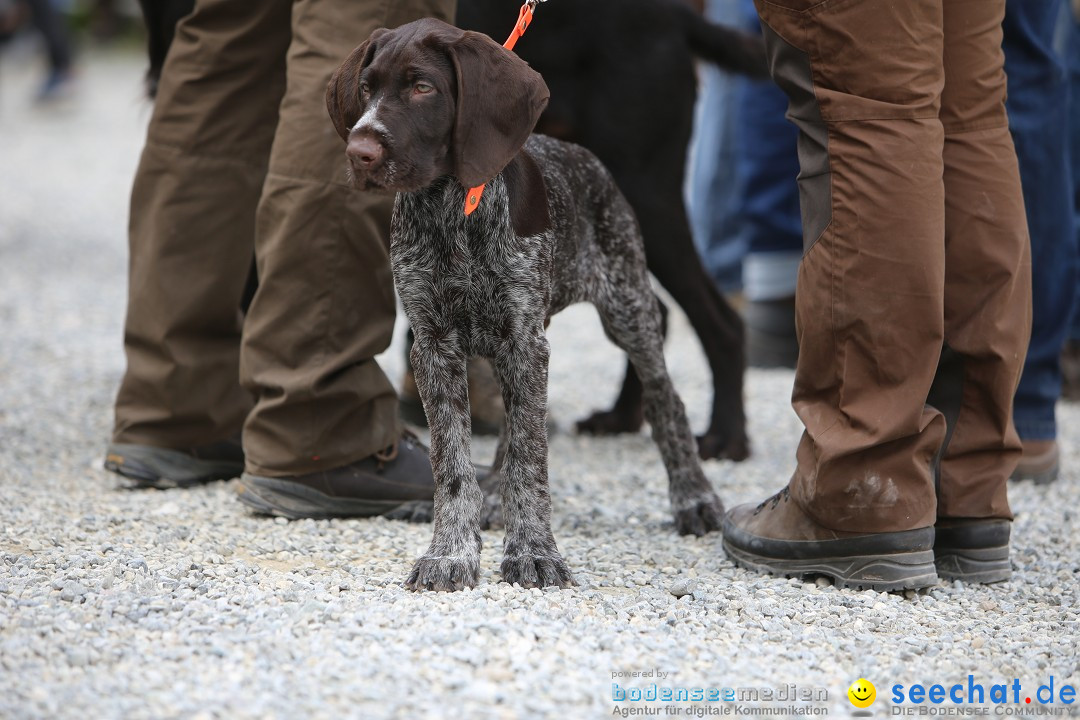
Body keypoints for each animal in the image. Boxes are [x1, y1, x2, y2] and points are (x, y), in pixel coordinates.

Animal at [324, 18, 721, 591]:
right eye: (365, 88)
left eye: (422, 87)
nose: (361, 152)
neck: (452, 210)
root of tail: (584, 153)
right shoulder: (435, 345)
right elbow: (453, 463)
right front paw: (451, 552)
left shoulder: (523, 340)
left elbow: (531, 460)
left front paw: (533, 551)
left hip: (625, 308)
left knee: (665, 399)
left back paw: (694, 497)